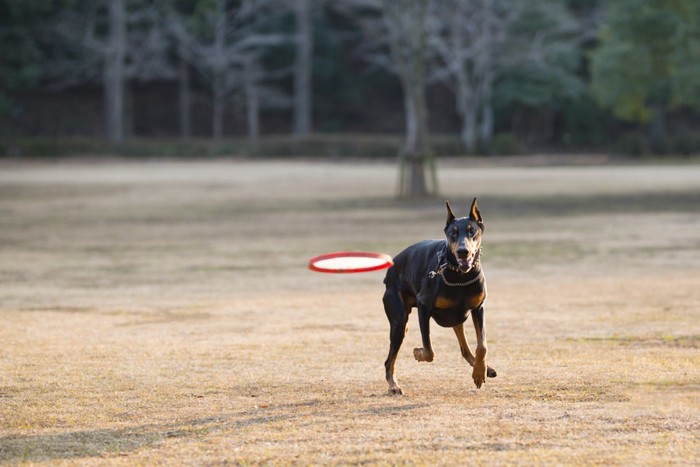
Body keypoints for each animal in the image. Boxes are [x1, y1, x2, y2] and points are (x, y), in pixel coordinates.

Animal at [382, 197, 498, 394]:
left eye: (472, 231)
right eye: (453, 233)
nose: (462, 251)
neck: (460, 276)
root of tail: (391, 267)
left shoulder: (478, 307)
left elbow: (482, 346)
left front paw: (479, 373)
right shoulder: (423, 306)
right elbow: (429, 350)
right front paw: (419, 353)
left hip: (456, 317)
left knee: (465, 349)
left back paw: (485, 369)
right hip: (399, 322)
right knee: (389, 360)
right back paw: (394, 386)